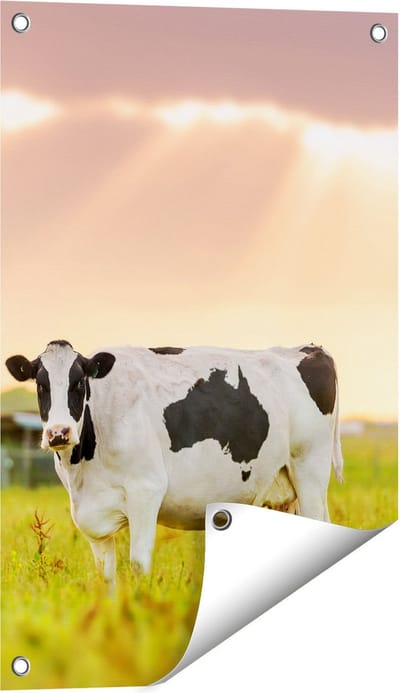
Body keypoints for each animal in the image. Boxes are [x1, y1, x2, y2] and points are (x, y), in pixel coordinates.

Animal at [5, 340, 343, 584]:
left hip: (310, 470)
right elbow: (106, 578)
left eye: (78, 383)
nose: (58, 433)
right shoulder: (92, 515)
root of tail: (309, 348)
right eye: (40, 385)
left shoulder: (146, 490)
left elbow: (138, 566)